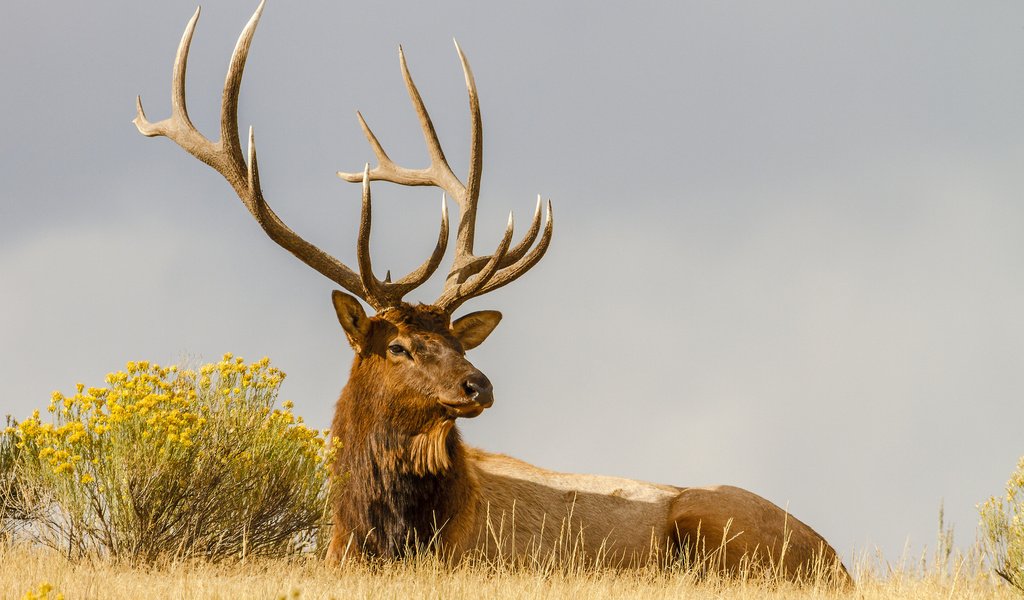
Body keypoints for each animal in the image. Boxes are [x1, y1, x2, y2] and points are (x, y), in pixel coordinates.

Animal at [138, 0, 856, 577]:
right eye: (396, 346)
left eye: (459, 340)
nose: (477, 385)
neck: (382, 534)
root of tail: (838, 562)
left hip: (717, 524)